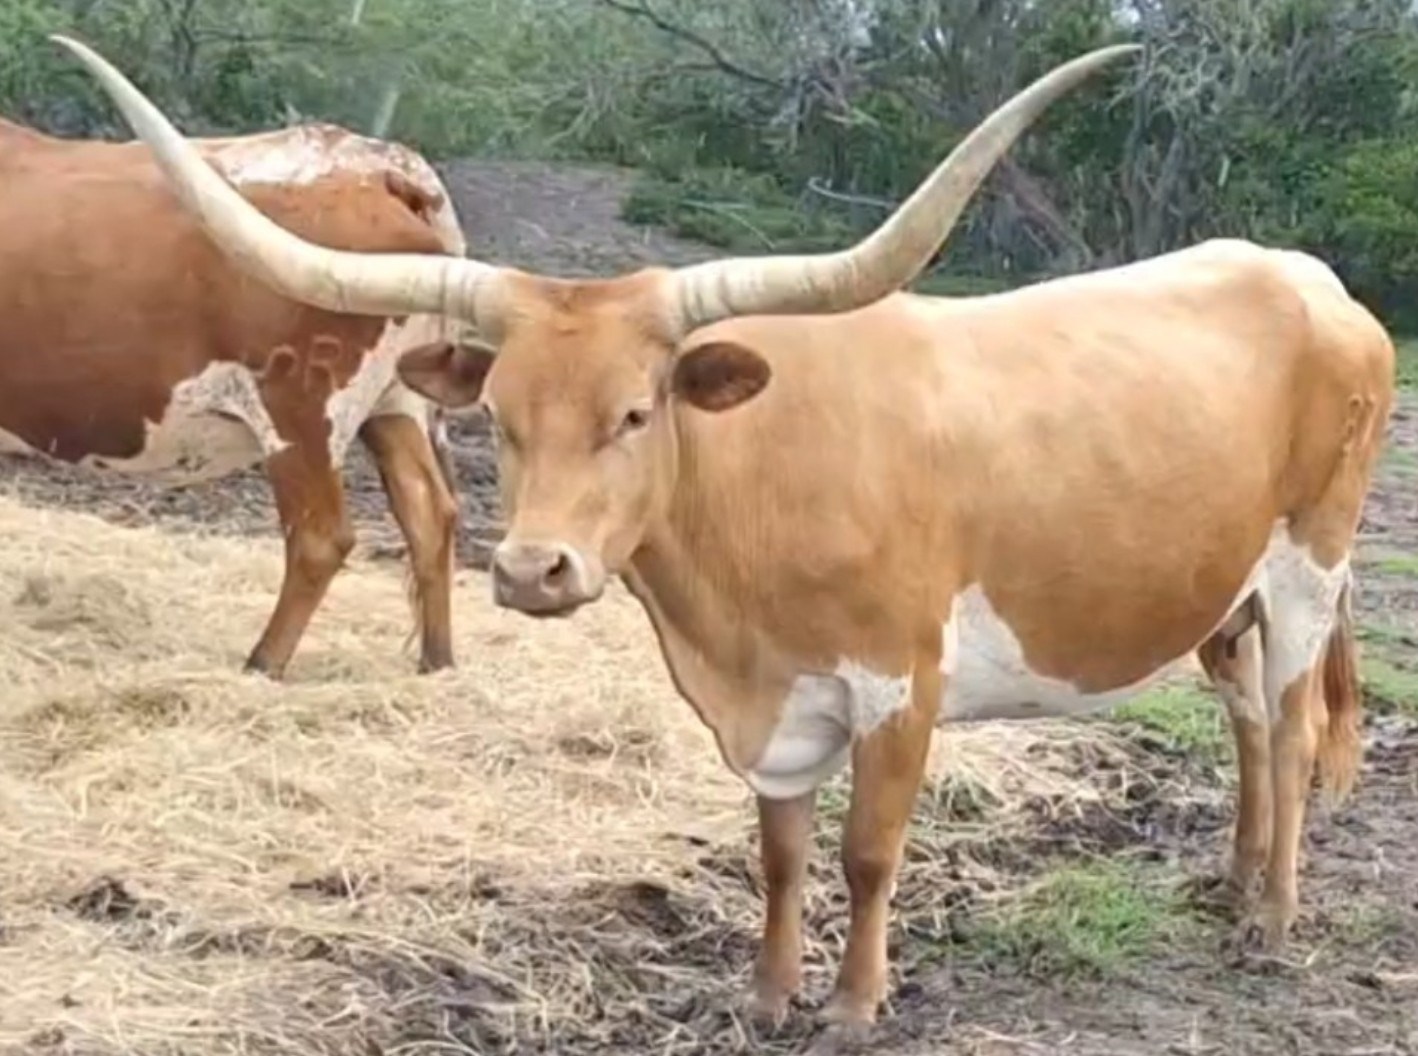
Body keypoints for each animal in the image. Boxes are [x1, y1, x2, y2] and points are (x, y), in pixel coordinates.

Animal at [0, 111, 467, 678]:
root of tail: (381, 166)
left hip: (303, 415)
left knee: (321, 538)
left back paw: (262, 664)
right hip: (397, 404)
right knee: (429, 513)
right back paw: (437, 664)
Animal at [64, 36, 1396, 1035]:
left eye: (634, 412)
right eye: (499, 417)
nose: (532, 570)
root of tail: (1311, 281)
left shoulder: (896, 684)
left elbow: (865, 851)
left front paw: (853, 1007)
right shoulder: (764, 702)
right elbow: (779, 853)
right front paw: (764, 996)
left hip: (1306, 569)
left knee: (1287, 734)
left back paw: (1268, 925)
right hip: (1220, 593)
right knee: (1243, 728)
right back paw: (1227, 883)